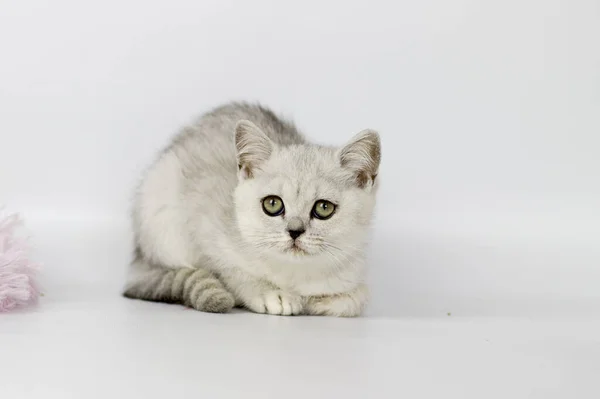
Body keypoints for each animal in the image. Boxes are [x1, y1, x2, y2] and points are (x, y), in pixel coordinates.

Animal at [124, 101, 382, 318]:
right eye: (272, 204)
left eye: (324, 208)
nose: (295, 231)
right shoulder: (204, 229)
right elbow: (231, 272)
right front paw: (271, 293)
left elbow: (358, 298)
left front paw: (326, 301)